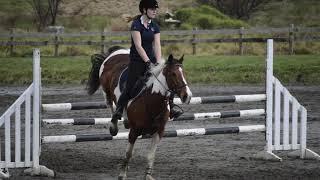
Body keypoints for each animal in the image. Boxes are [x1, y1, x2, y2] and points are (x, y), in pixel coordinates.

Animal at [86, 46, 192, 179]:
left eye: (184, 73)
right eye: (173, 74)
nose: (187, 96)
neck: (152, 101)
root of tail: (116, 52)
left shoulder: (159, 131)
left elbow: (151, 155)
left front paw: (148, 175)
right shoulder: (134, 132)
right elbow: (128, 153)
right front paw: (122, 174)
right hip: (106, 89)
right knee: (109, 103)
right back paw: (114, 125)